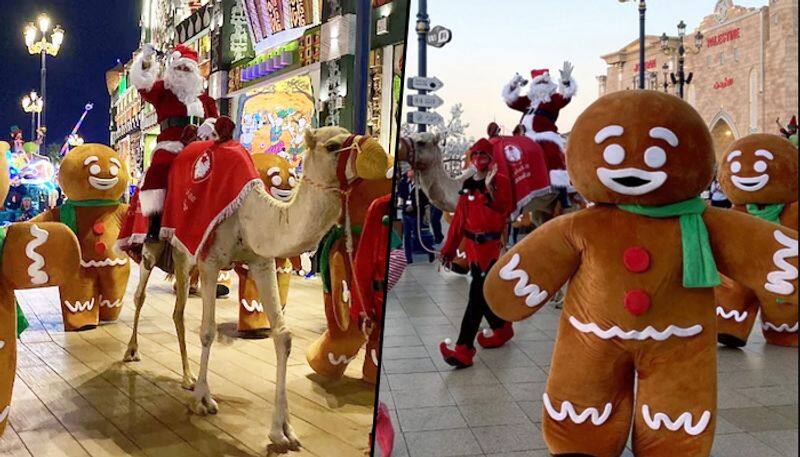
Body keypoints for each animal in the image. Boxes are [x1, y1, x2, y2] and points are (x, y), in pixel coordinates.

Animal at [121, 126, 390, 450]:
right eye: (334, 146)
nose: (380, 155)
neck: (250, 215)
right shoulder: (210, 262)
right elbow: (208, 331)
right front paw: (203, 400)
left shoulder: (261, 262)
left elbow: (283, 336)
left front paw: (282, 430)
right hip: (154, 248)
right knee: (140, 295)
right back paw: (132, 352)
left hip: (182, 255)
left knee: (178, 310)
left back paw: (186, 377)